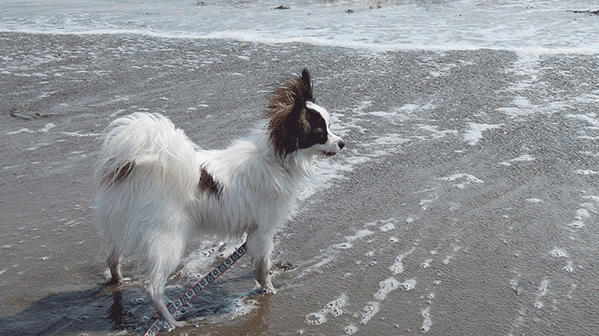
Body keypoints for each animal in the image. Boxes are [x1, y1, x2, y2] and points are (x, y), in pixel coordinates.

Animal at [94, 69, 346, 326]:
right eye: (320, 133)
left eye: (329, 127)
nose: (343, 143)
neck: (275, 159)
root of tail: (136, 169)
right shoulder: (264, 228)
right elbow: (263, 264)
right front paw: (269, 289)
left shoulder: (257, 231)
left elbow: (264, 260)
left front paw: (274, 270)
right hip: (168, 239)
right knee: (152, 287)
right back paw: (172, 322)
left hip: (122, 227)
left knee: (112, 259)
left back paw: (119, 282)